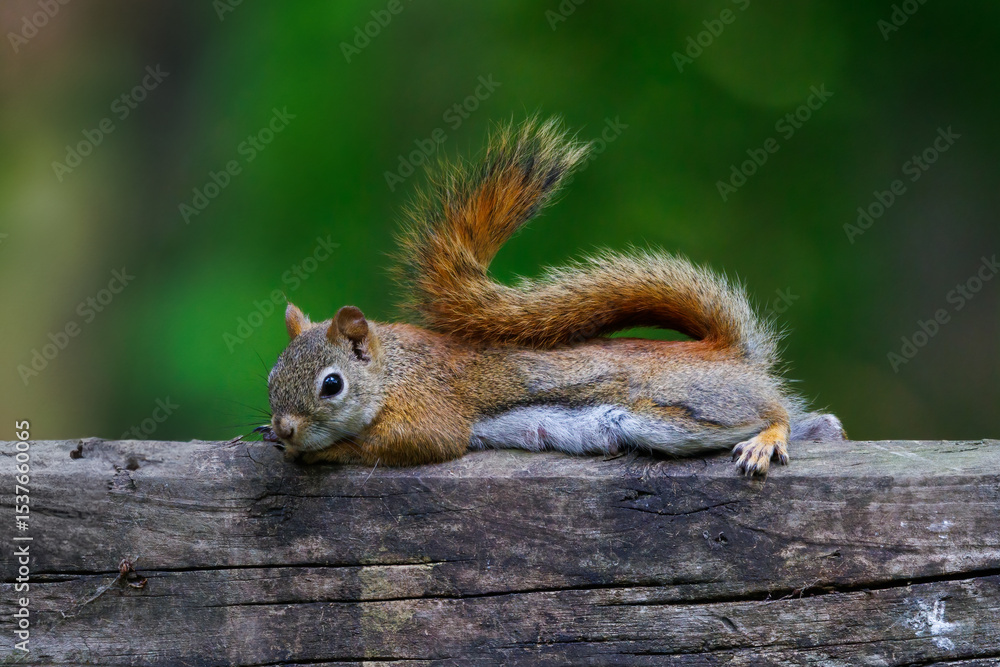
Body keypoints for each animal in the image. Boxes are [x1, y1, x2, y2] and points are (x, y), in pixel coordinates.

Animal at [262, 117, 844, 475]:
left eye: (332, 384)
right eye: (271, 376)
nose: (286, 427)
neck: (393, 370)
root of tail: (730, 355)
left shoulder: (431, 410)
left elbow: (412, 443)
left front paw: (320, 451)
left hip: (685, 407)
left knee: (773, 410)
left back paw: (768, 439)